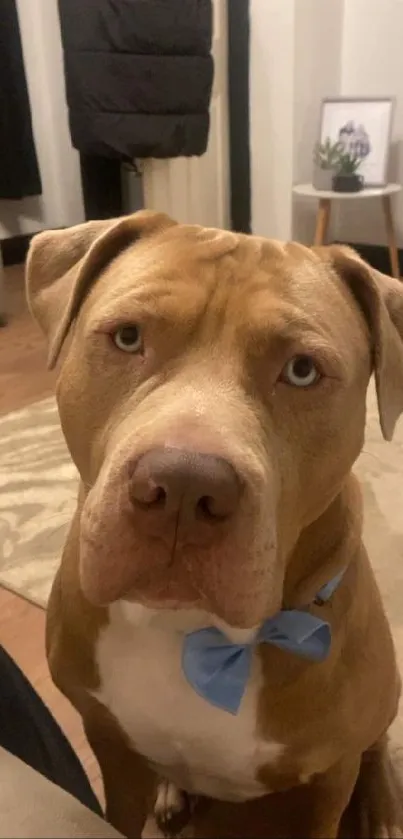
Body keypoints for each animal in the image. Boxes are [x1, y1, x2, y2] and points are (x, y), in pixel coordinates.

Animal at [26, 212, 403, 839]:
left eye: (302, 370)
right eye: (127, 337)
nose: (182, 486)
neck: (192, 633)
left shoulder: (327, 784)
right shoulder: (111, 747)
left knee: (375, 749)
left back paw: (380, 810)